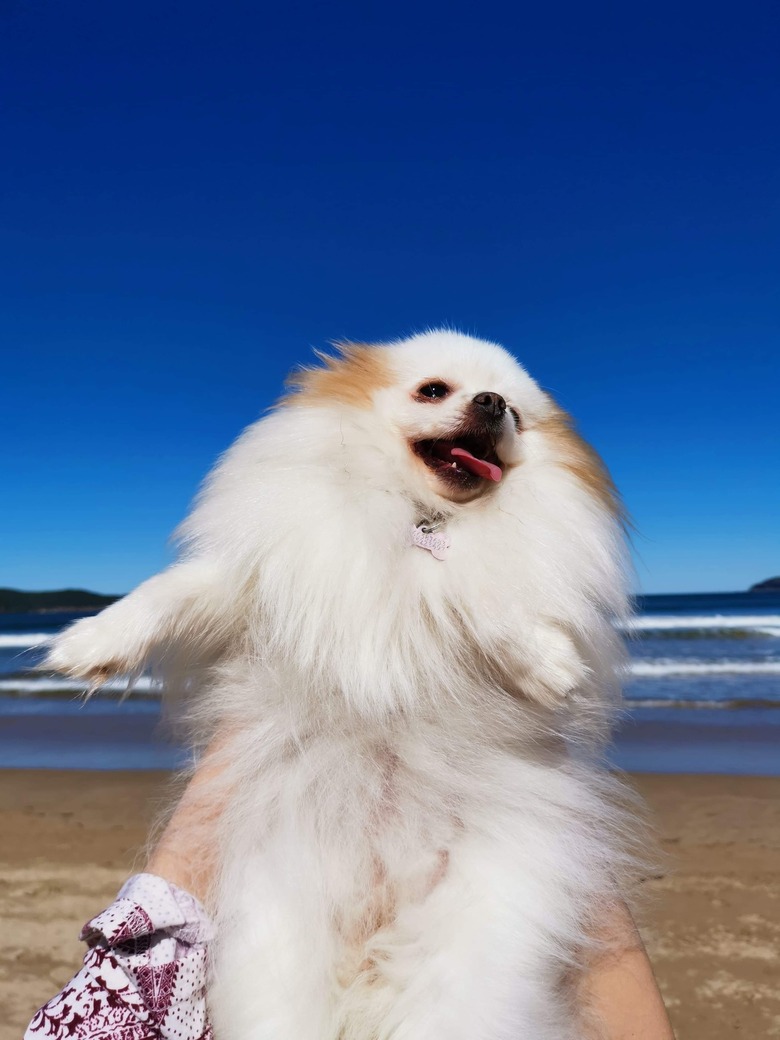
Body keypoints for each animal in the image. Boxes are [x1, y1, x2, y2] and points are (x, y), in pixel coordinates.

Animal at [52, 330, 644, 1040]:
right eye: (434, 390)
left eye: (517, 417)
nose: (492, 402)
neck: (422, 515)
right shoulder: (263, 579)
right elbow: (168, 592)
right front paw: (92, 642)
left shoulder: (462, 576)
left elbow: (476, 596)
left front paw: (546, 664)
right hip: (277, 946)